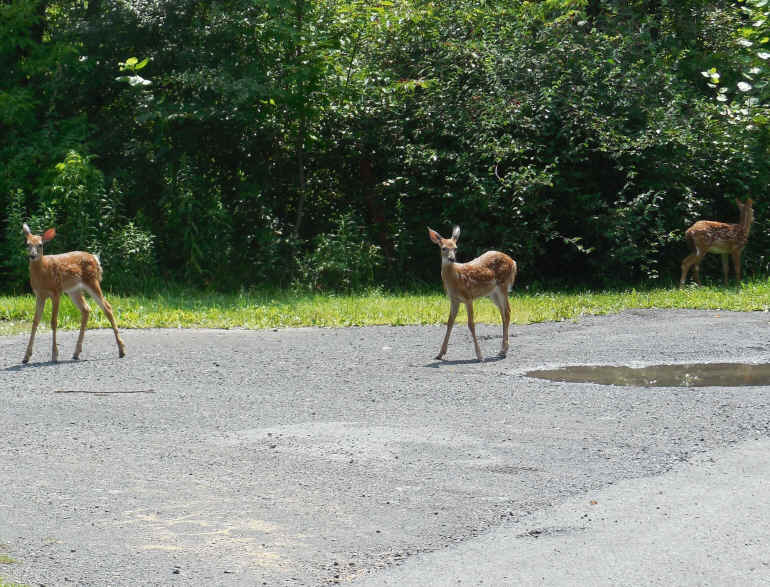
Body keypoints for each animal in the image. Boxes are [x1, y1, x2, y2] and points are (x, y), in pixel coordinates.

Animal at [22, 223, 126, 363]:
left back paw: (121, 350)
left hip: (92, 281)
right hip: (74, 290)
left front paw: (54, 355)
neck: (43, 272)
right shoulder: (39, 294)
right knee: (86, 309)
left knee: (107, 307)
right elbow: (35, 321)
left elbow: (53, 321)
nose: (32, 256)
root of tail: (95, 258)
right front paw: (26, 356)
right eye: (27, 244)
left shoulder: (56, 291)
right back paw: (76, 352)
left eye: (40, 245)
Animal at [428, 225, 517, 362]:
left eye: (455, 248)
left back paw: (503, 350)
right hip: (493, 294)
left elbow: (471, 324)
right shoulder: (454, 300)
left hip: (503, 286)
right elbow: (449, 322)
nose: (452, 258)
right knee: (503, 313)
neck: (456, 279)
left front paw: (479, 355)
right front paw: (440, 354)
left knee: (507, 311)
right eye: (443, 248)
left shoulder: (468, 297)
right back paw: (503, 350)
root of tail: (513, 262)